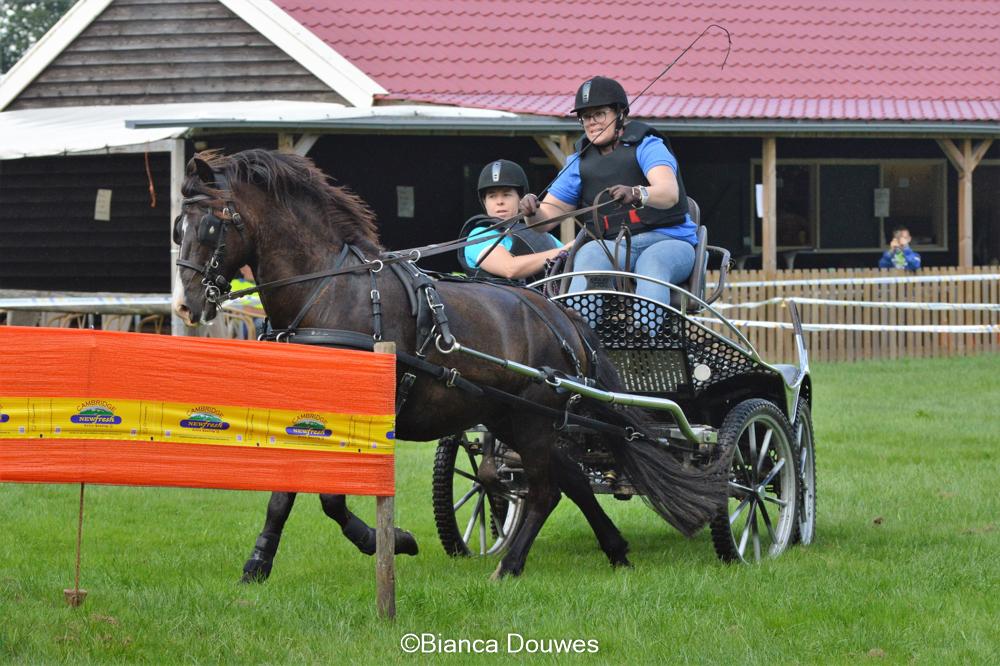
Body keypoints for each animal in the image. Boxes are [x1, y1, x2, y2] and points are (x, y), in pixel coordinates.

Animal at [174, 149, 728, 576]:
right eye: (179, 227)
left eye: (212, 224)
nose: (187, 306)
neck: (331, 291)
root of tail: (561, 315)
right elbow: (285, 492)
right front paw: (258, 563)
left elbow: (331, 499)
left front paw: (390, 540)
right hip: (514, 416)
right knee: (568, 476)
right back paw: (614, 550)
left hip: (532, 417)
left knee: (546, 490)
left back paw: (510, 566)